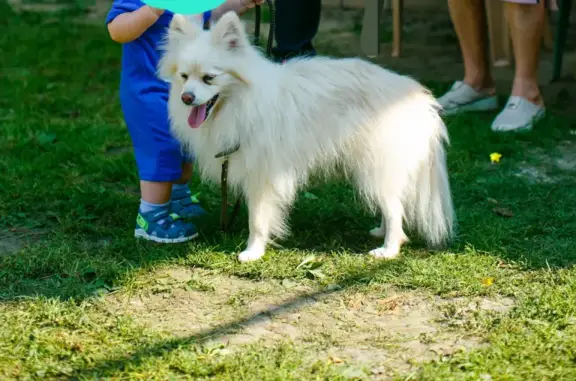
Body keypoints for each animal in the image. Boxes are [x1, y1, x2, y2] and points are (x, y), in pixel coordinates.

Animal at [158, 11, 454, 262]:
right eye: (184, 76)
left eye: (209, 78)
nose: (186, 98)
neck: (242, 101)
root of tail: (418, 98)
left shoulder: (262, 174)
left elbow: (257, 219)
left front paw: (253, 252)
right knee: (391, 202)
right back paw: (381, 233)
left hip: (376, 163)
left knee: (394, 208)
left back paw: (389, 249)